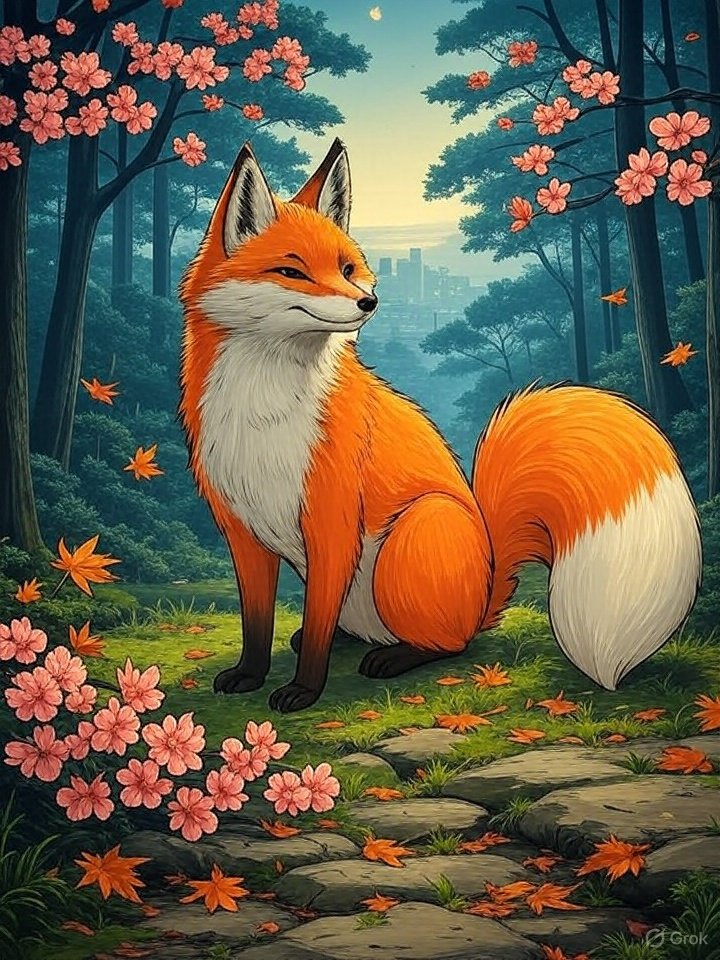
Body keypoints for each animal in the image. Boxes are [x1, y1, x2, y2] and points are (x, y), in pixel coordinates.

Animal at [178, 137, 702, 714]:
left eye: (347, 268)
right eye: (291, 272)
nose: (368, 302)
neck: (263, 415)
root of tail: (489, 583)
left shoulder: (332, 526)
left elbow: (314, 631)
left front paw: (303, 690)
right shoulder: (241, 531)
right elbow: (257, 624)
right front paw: (249, 675)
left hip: (411, 536)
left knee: (450, 643)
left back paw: (395, 656)